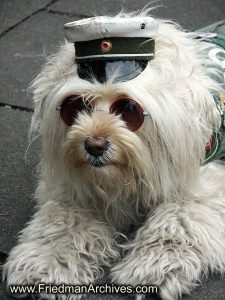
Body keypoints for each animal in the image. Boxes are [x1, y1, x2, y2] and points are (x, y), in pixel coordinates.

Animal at [3, 10, 225, 298]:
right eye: (76, 106)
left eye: (128, 108)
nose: (94, 144)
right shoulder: (77, 190)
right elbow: (62, 224)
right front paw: (45, 263)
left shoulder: (201, 183)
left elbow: (176, 223)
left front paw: (152, 267)